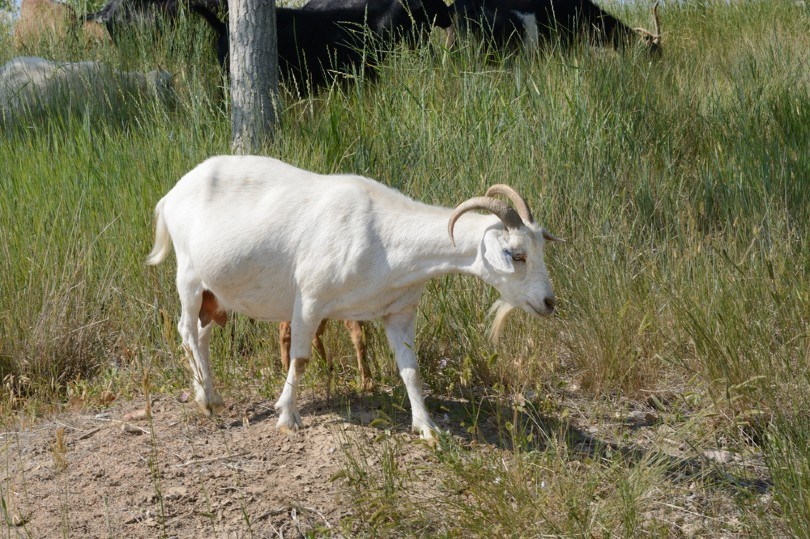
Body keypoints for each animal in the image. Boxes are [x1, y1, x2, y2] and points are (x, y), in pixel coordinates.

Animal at [147, 155, 561, 441]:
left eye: (540, 249)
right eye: (516, 255)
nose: (548, 303)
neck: (383, 237)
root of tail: (170, 195)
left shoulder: (399, 310)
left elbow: (410, 370)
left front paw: (427, 428)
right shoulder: (310, 298)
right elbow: (299, 359)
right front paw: (287, 417)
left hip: (215, 292)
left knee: (202, 335)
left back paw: (210, 395)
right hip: (189, 275)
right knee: (186, 330)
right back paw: (206, 400)